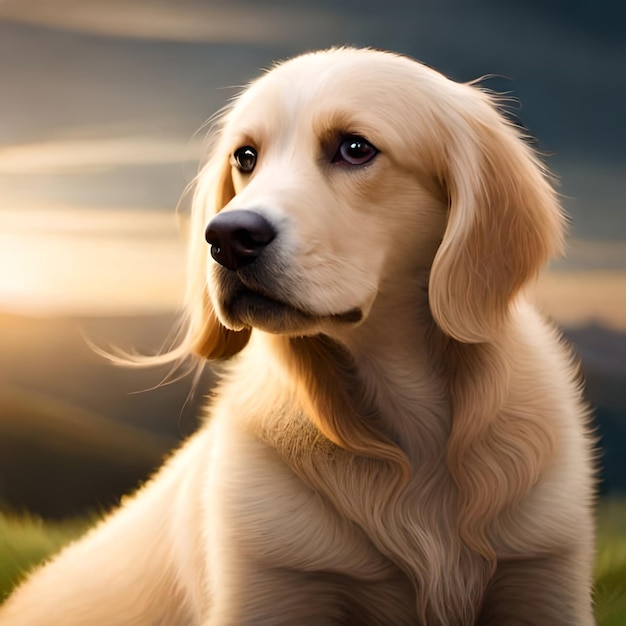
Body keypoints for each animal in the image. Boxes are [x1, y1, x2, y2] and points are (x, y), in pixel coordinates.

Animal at [1, 48, 596, 624]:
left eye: (355, 148)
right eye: (245, 157)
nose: (228, 237)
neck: (411, 432)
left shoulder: (542, 573)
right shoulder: (272, 581)